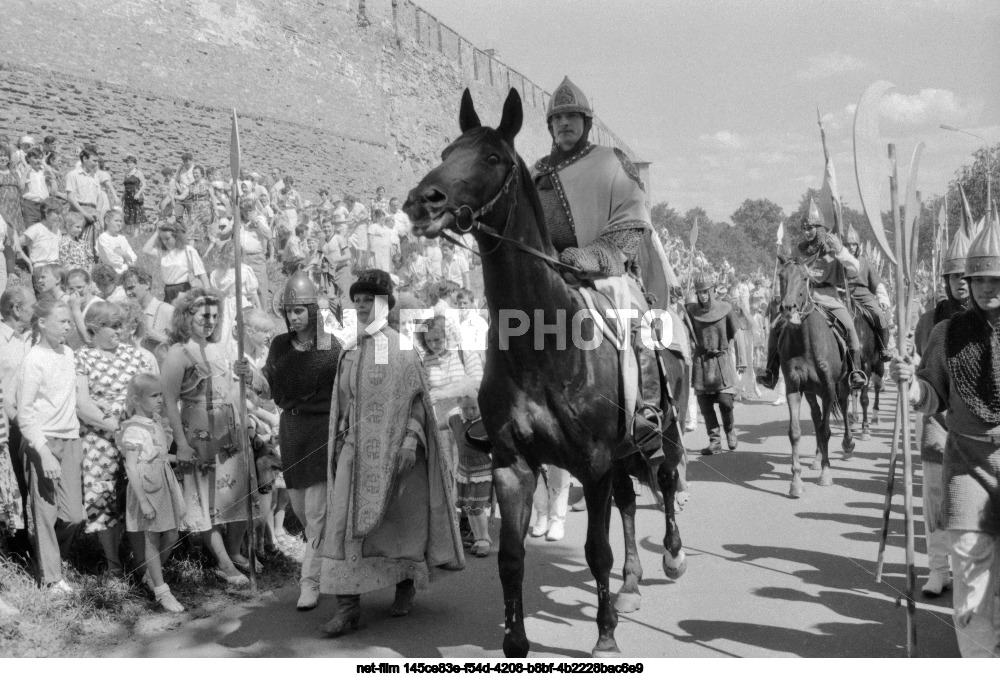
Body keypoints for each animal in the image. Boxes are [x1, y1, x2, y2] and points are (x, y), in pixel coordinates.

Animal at [404, 90, 688, 656]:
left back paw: (671, 555)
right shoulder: (513, 465)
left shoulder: (594, 464)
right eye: (448, 150)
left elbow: (596, 551)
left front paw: (605, 638)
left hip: (660, 432)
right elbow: (512, 559)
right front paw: (516, 642)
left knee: (666, 481)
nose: (423, 201)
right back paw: (629, 585)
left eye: (492, 157)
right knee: (630, 502)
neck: (542, 349)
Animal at [776, 255, 856, 496]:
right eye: (781, 276)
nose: (788, 307)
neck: (806, 343)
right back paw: (817, 458)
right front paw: (796, 481)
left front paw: (826, 474)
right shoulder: (794, 387)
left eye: (805, 278)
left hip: (842, 384)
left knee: (842, 408)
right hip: (811, 391)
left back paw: (848, 443)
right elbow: (796, 432)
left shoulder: (829, 388)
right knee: (816, 416)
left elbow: (825, 430)